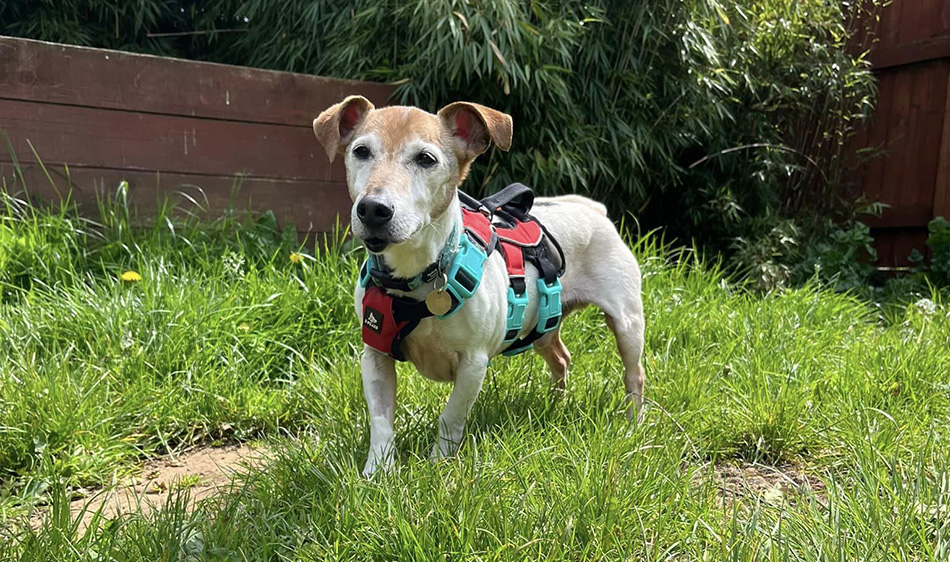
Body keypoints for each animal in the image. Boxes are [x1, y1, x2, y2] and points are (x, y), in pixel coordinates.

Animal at [312, 95, 648, 472]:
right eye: (361, 151)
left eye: (426, 159)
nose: (373, 208)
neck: (418, 277)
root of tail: (593, 210)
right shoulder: (375, 355)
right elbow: (381, 422)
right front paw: (378, 473)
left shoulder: (473, 363)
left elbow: (451, 417)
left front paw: (438, 467)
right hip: (544, 325)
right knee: (561, 358)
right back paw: (555, 405)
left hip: (627, 322)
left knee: (633, 373)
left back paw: (633, 423)